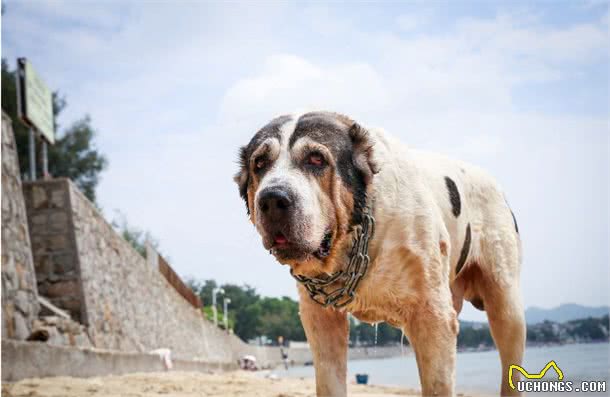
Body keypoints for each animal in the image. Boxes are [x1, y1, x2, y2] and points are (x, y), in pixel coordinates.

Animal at [233, 111, 524, 396]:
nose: (272, 199)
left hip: (506, 304)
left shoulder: (434, 319)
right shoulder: (320, 320)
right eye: (260, 163)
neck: (357, 238)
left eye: (316, 159)